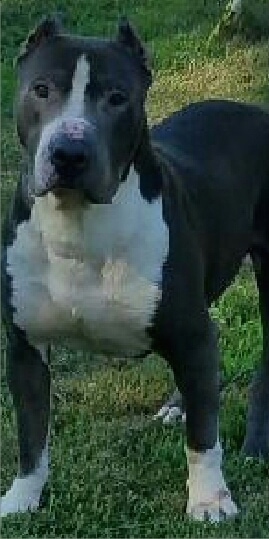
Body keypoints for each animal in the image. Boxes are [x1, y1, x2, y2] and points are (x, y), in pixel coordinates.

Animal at [1, 17, 268, 524]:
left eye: (117, 97)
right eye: (41, 89)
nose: (69, 153)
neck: (79, 225)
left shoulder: (189, 332)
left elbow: (204, 438)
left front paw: (209, 499)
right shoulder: (25, 344)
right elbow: (31, 432)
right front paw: (22, 497)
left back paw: (256, 446)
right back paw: (180, 404)